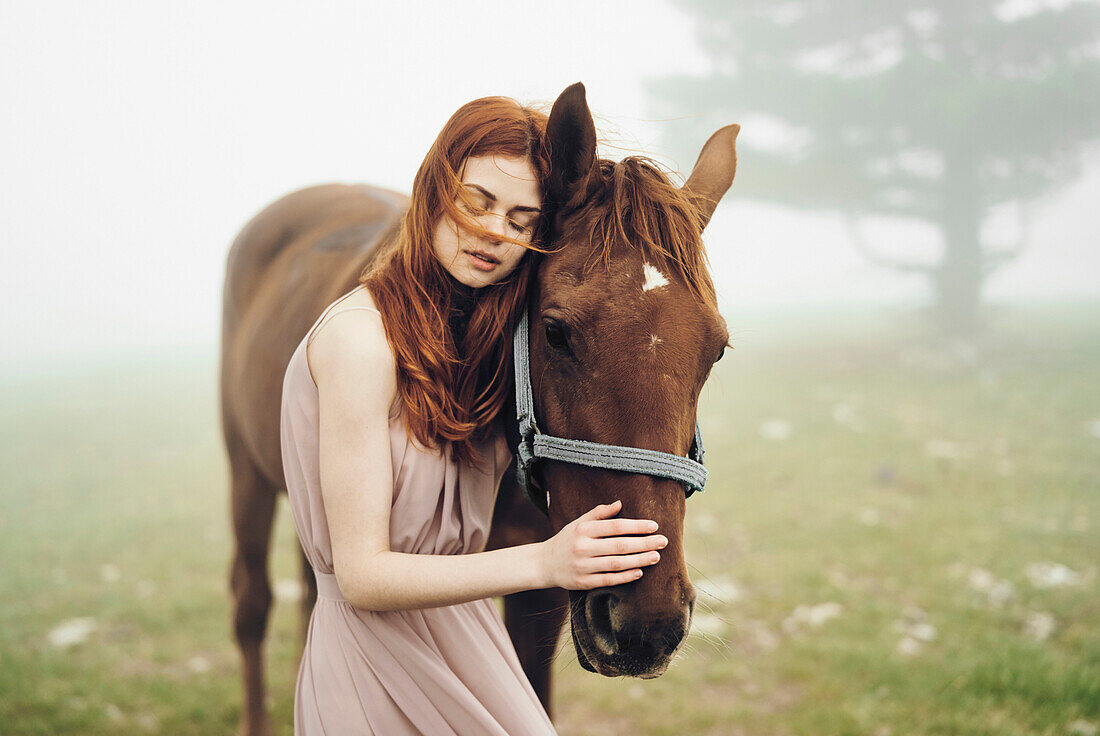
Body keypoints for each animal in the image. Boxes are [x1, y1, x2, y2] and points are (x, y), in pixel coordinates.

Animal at [217, 81, 734, 734]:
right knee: (251, 603)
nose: (646, 624)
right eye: (556, 332)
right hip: (246, 470)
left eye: (716, 350)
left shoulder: (543, 592)